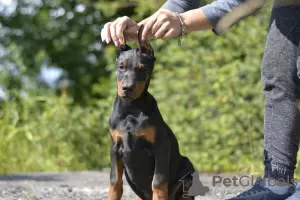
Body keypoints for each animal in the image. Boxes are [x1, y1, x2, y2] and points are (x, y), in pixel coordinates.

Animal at [108, 25, 195, 200]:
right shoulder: (114, 147)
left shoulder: (160, 146)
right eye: (121, 66)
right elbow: (115, 182)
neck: (131, 109)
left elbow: (158, 182)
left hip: (187, 167)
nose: (127, 88)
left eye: (142, 69)